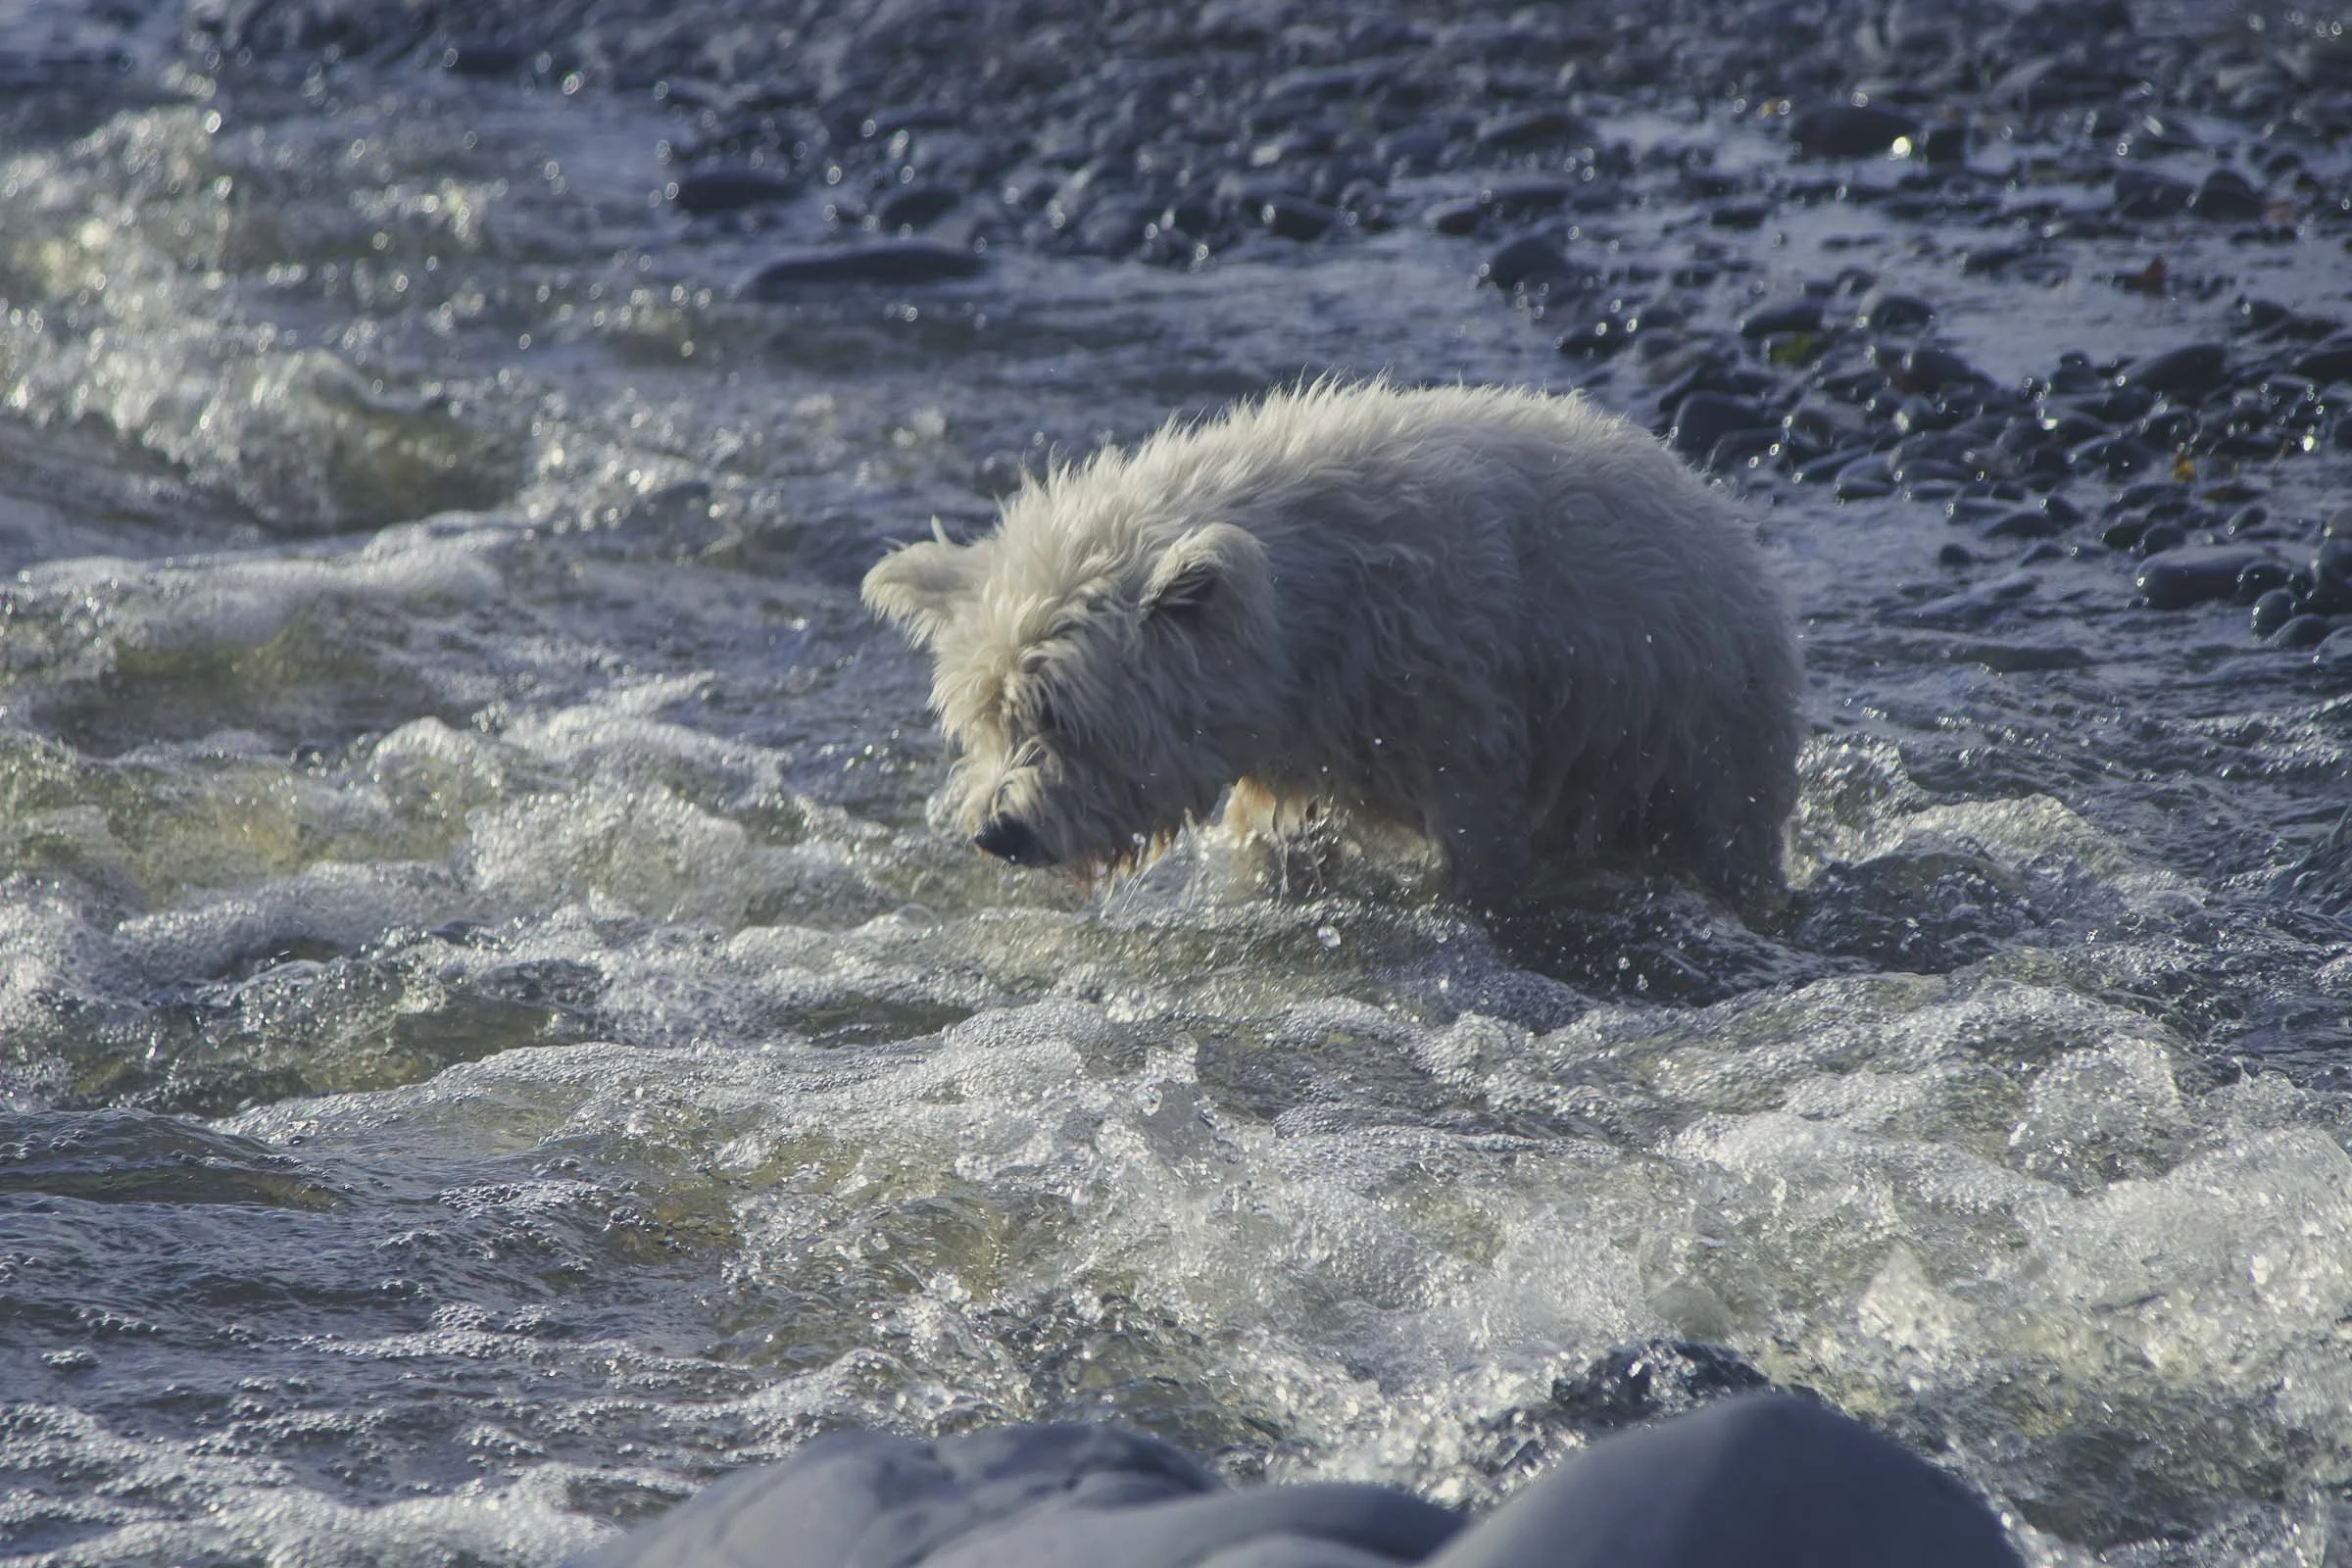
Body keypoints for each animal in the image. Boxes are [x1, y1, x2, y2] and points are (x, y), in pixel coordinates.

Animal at [861, 378, 1804, 911]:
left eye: (1063, 717)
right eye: (986, 723)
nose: (998, 832)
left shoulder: (1462, 712)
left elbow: (1481, 851)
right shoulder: (1294, 756)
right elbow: (1274, 850)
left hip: (1703, 733)